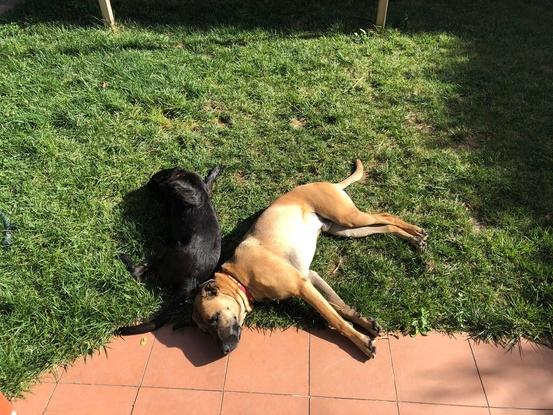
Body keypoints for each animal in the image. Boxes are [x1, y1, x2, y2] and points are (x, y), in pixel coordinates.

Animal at [117, 166, 221, 334]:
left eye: (152, 184)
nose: (147, 186)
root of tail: (190, 280)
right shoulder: (202, 188)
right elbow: (207, 183)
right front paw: (214, 171)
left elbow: (177, 187)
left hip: (165, 249)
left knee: (137, 272)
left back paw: (124, 257)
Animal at [193, 161, 426, 360]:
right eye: (204, 332)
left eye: (214, 319)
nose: (224, 351)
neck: (239, 277)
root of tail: (330, 183)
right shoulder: (310, 276)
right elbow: (339, 305)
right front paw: (365, 323)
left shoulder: (302, 286)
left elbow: (334, 318)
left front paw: (361, 341)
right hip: (346, 230)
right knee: (385, 226)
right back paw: (414, 239)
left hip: (348, 217)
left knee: (386, 215)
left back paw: (416, 230)